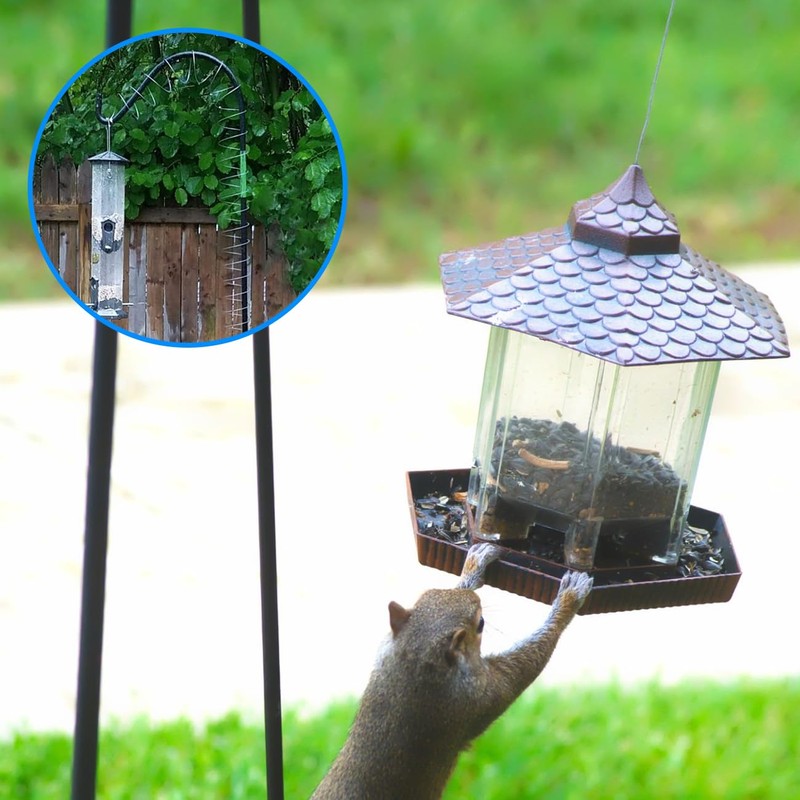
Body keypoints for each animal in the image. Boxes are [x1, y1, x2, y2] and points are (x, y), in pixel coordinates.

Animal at [311, 543, 593, 800]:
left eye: (429, 593)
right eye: (480, 623)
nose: (477, 599)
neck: (415, 665)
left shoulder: (385, 649)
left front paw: (473, 565)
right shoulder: (478, 695)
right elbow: (529, 661)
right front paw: (569, 599)